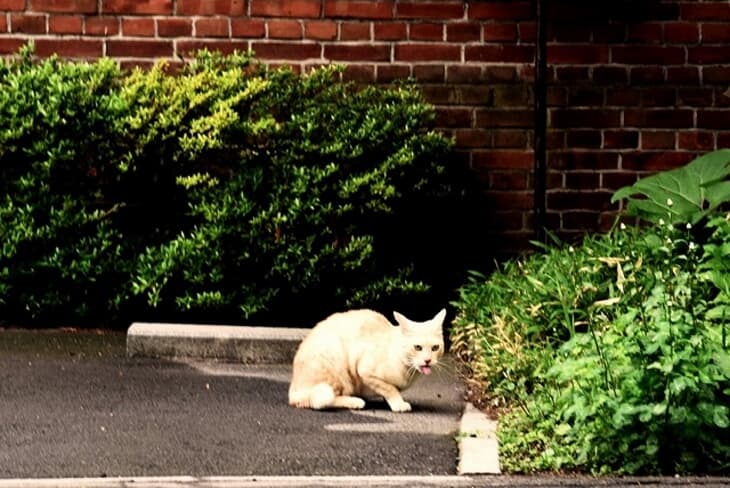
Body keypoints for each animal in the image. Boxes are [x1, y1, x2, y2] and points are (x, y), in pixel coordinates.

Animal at [286, 308, 444, 412]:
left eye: (435, 348)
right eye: (417, 347)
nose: (428, 360)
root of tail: (292, 392)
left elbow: (390, 389)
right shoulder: (366, 372)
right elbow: (390, 388)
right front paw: (398, 403)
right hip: (335, 368)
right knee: (322, 401)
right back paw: (354, 401)